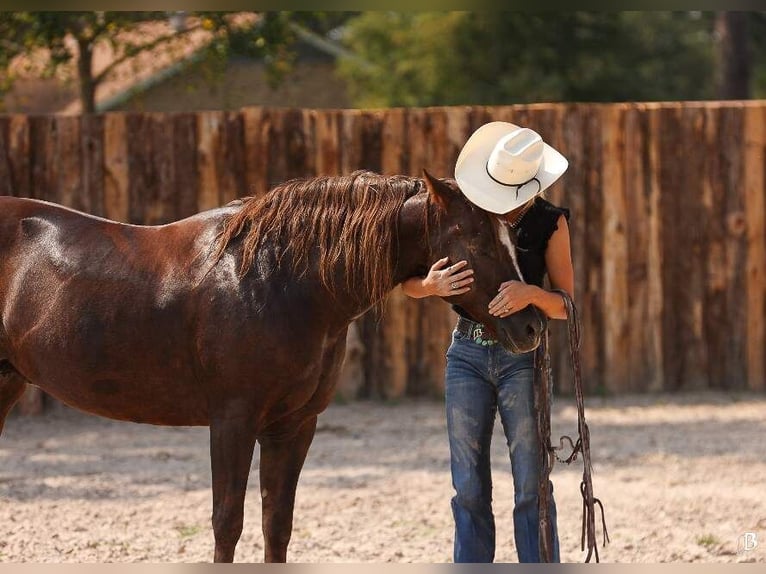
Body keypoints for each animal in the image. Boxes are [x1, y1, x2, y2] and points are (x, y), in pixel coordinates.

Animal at [0, 169, 545, 562]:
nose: (531, 326)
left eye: (512, 237)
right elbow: (227, 522)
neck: (279, 279)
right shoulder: (233, 421)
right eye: (476, 241)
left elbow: (276, 521)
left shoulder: (294, 425)